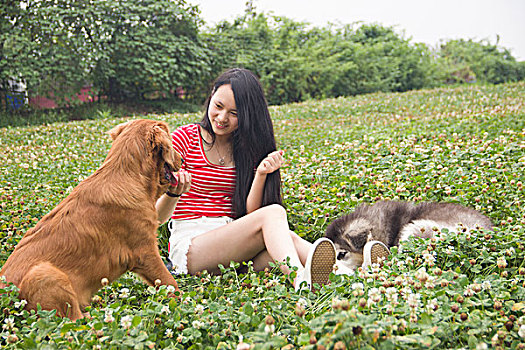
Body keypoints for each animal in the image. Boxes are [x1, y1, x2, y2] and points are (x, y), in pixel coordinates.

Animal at [0, 119, 180, 320]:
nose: (181, 159)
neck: (130, 175)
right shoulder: (145, 250)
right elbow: (170, 282)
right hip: (46, 273)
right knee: (75, 320)